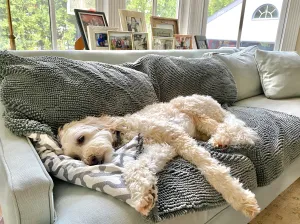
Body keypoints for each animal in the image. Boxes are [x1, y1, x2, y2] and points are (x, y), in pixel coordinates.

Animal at [58, 95, 260, 219]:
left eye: (81, 138)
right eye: (75, 157)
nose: (91, 160)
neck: (126, 133)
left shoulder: (176, 136)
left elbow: (211, 169)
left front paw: (241, 199)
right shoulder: (160, 149)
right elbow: (136, 167)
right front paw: (144, 194)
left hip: (193, 110)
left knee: (230, 127)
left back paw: (222, 138)